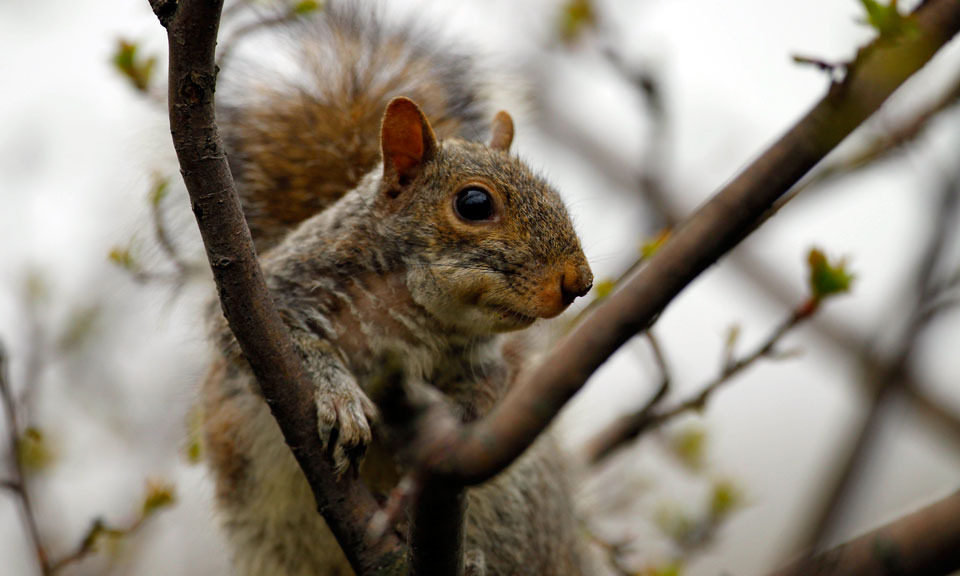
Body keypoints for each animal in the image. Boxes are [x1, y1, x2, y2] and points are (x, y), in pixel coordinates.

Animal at [200, 4, 595, 575]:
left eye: (554, 193)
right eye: (474, 203)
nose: (579, 282)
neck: (413, 315)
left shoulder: (483, 365)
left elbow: (484, 397)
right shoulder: (266, 299)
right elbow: (278, 346)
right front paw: (340, 397)